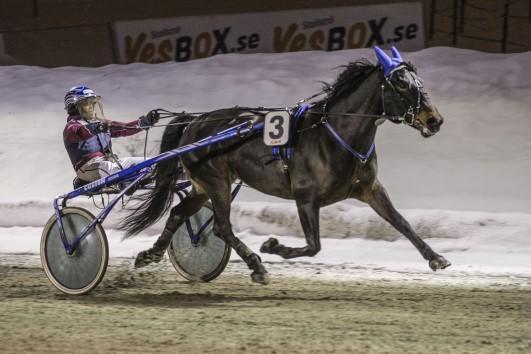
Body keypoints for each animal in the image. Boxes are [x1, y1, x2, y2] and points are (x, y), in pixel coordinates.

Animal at [122, 47, 450, 284]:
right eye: (401, 84)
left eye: (419, 82)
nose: (435, 119)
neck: (336, 134)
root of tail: (193, 121)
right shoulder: (305, 197)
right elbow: (313, 246)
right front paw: (271, 247)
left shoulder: (369, 188)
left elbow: (402, 223)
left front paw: (436, 258)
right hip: (218, 183)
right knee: (221, 226)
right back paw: (256, 265)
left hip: (203, 186)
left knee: (179, 213)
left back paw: (149, 255)